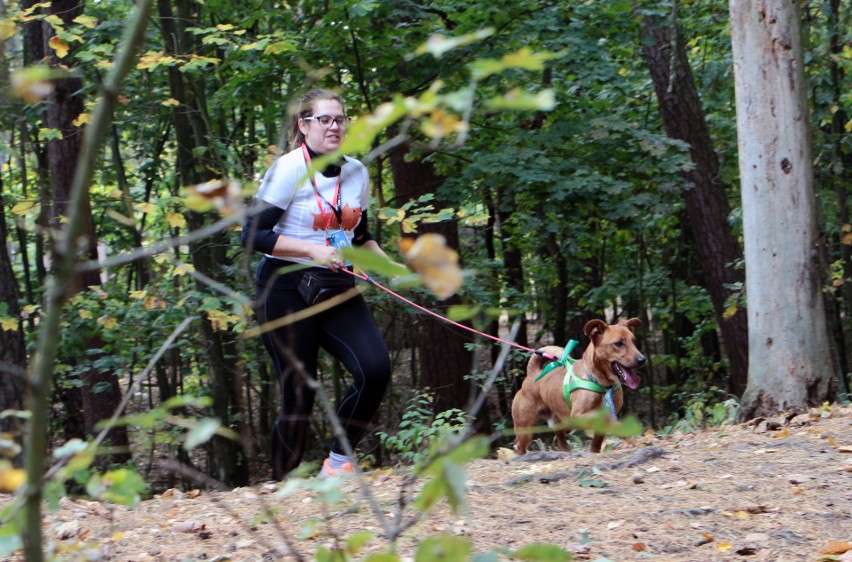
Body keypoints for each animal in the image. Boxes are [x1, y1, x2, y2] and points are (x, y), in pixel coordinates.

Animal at [512, 318, 644, 452]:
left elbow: (596, 443)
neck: (602, 385)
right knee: (519, 446)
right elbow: (602, 418)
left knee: (561, 440)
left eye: (633, 341)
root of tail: (532, 374)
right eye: (618, 343)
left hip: (561, 423)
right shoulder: (578, 416)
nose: (642, 360)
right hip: (525, 428)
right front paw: (622, 430)